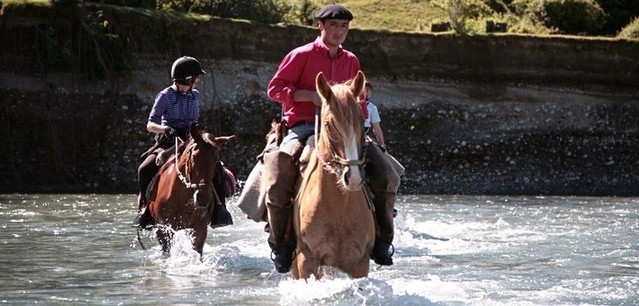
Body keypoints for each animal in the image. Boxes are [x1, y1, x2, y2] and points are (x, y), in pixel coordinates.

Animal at [146, 123, 234, 255]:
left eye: (215, 159)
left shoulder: (199, 228)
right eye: (194, 156)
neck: (179, 197)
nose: (203, 198)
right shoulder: (163, 230)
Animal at [292, 70, 376, 280]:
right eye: (329, 124)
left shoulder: (361, 262)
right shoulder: (307, 259)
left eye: (362, 121)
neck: (339, 206)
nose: (353, 178)